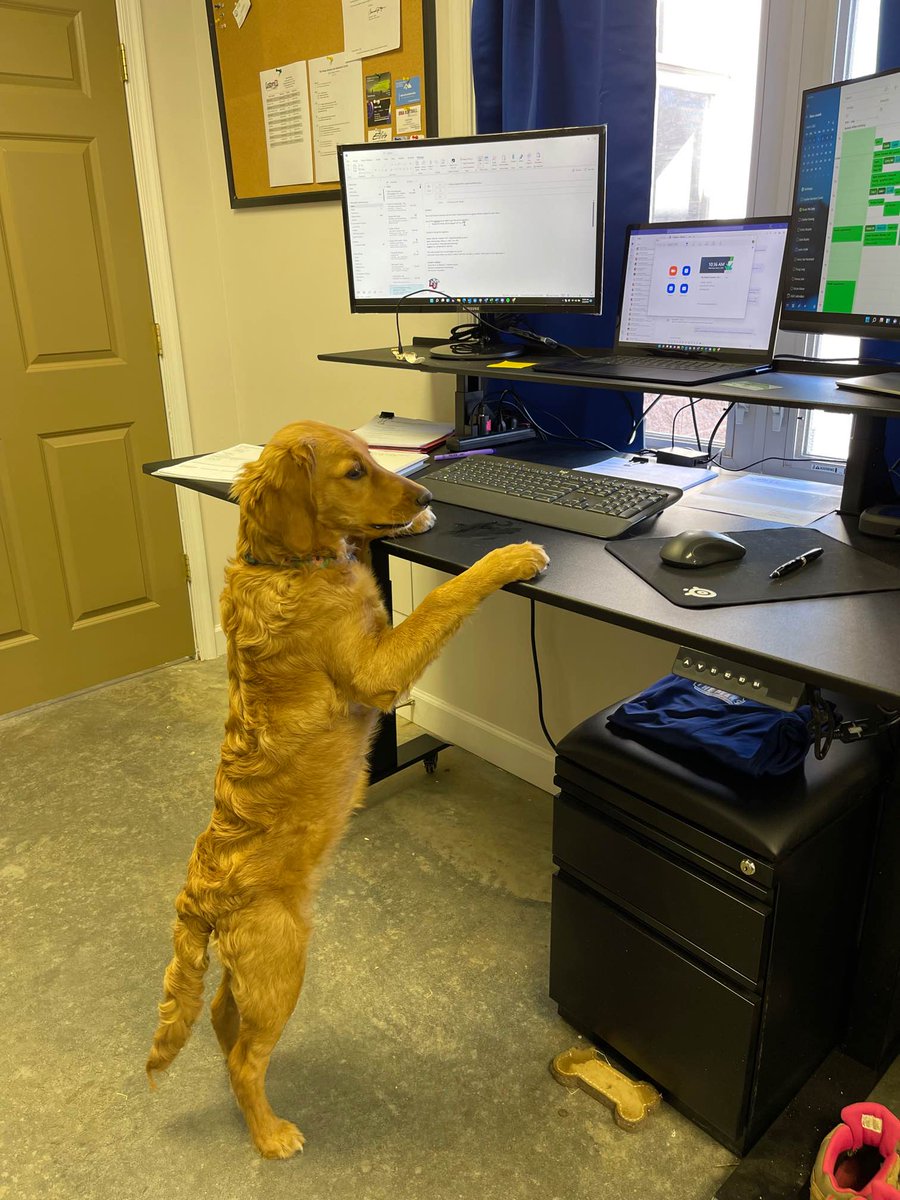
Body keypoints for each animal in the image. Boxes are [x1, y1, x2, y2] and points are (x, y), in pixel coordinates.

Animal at [146, 420, 549, 1152]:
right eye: (353, 471)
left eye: (373, 460)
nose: (425, 492)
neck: (286, 565)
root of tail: (196, 894)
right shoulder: (378, 669)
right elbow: (447, 595)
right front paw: (509, 555)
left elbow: (369, 542)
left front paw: (412, 521)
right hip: (282, 962)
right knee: (247, 1057)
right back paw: (270, 1133)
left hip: (250, 970)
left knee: (221, 1018)